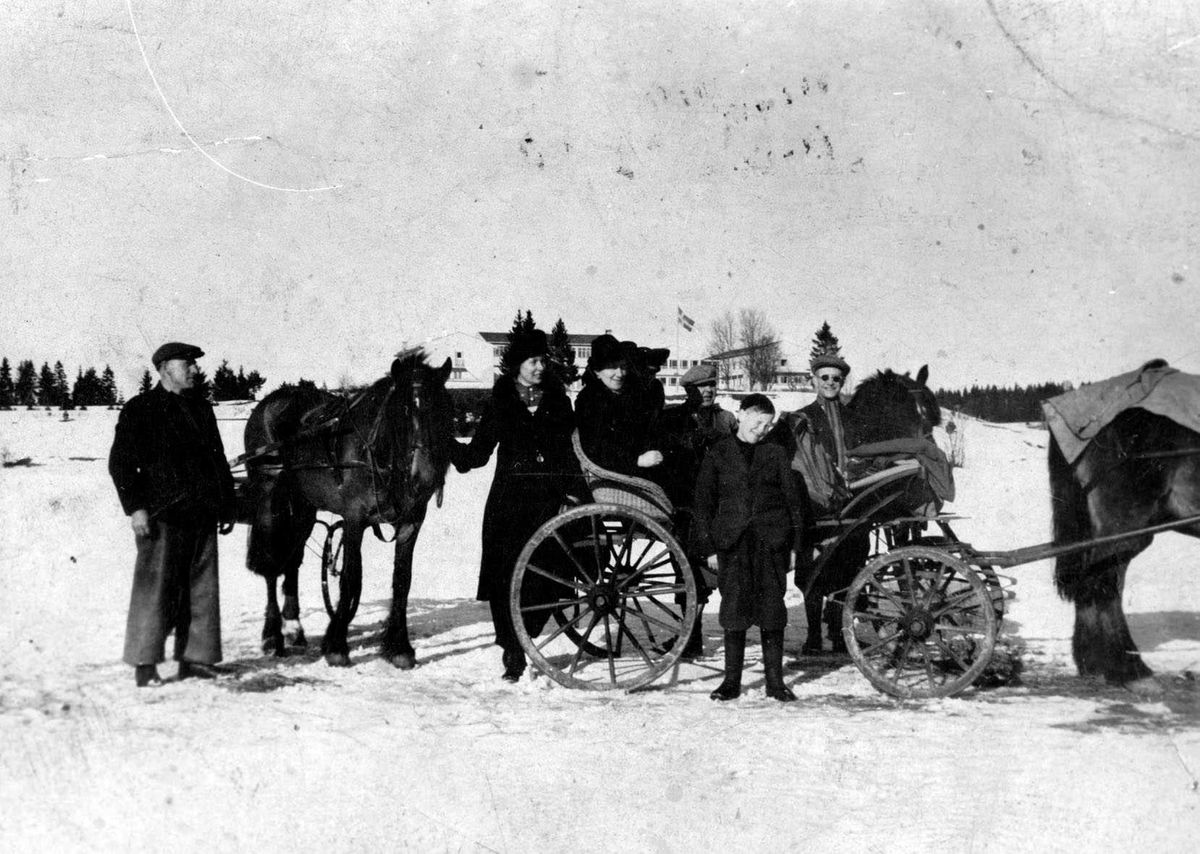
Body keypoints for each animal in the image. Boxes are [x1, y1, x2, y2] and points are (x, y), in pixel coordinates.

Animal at [242, 352, 453, 666]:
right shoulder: (355, 518)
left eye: (441, 409)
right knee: (272, 562)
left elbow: (402, 580)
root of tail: (268, 403)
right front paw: (337, 646)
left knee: (292, 559)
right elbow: (350, 578)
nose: (424, 478)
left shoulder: (411, 521)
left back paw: (294, 628)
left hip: (303, 507)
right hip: (271, 498)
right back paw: (272, 635)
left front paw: (399, 647)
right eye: (402, 412)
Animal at [787, 364, 945, 652]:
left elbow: (847, 580)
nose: (928, 463)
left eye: (931, 419)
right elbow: (812, 583)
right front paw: (814, 641)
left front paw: (840, 637)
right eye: (907, 413)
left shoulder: (858, 533)